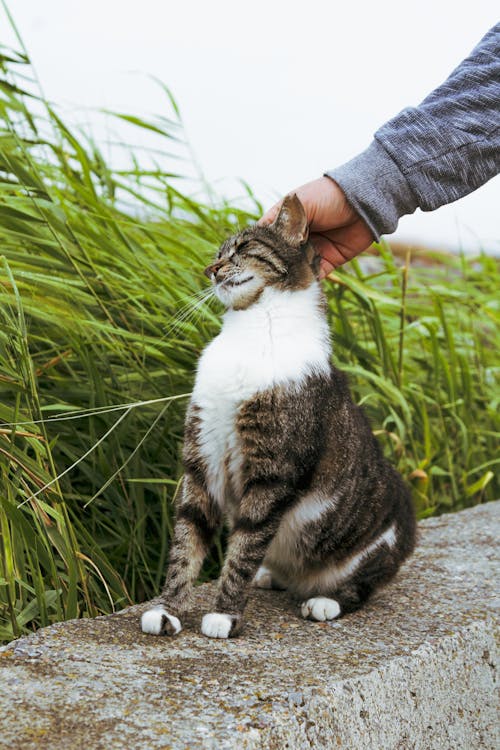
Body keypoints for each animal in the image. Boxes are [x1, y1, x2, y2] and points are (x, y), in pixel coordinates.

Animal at [140, 194, 414, 640]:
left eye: (243, 248)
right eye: (217, 254)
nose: (210, 269)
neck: (252, 327)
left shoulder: (273, 471)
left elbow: (245, 544)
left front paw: (225, 615)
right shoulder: (202, 458)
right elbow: (187, 539)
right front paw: (167, 610)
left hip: (383, 540)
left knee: (360, 587)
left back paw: (323, 600)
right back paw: (271, 575)